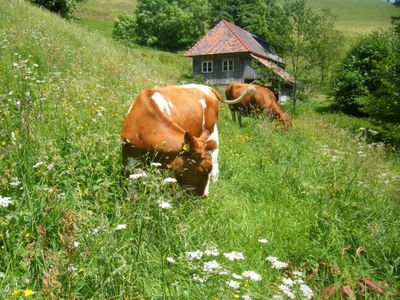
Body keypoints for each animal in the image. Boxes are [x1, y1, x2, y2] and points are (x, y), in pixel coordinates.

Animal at [121, 84, 253, 197]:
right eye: (204, 170)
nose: (204, 196)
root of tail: (207, 88)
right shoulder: (128, 159)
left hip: (212, 135)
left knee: (216, 168)